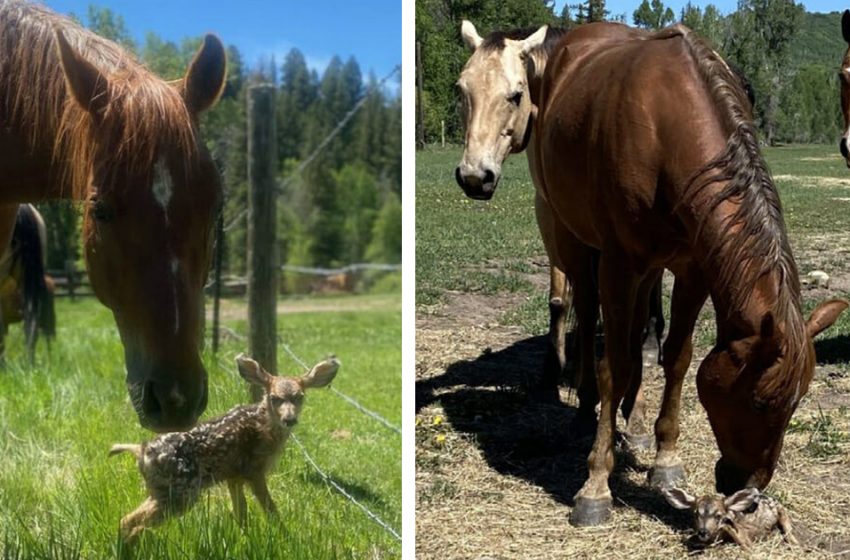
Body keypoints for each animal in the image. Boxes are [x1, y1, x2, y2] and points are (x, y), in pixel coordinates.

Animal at [109, 354, 338, 544]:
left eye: (300, 397)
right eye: (274, 398)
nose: (289, 419)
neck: (263, 426)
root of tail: (140, 450)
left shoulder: (233, 475)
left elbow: (240, 513)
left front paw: (247, 539)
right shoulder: (253, 469)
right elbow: (270, 509)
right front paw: (286, 538)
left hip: (161, 490)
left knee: (127, 521)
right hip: (181, 491)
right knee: (132, 524)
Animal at [532, 21, 844, 528]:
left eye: (797, 402)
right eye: (761, 402)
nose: (748, 488)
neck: (667, 131)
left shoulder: (694, 267)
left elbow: (676, 357)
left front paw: (664, 459)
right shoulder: (619, 264)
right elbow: (613, 365)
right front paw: (596, 484)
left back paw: (632, 422)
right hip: (573, 238)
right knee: (586, 307)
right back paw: (586, 409)